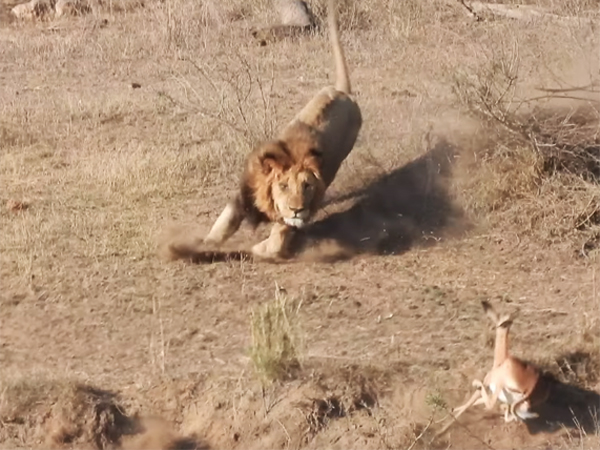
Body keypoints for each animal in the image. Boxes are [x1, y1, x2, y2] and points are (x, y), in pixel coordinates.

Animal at [169, 0, 360, 262]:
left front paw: (253, 249)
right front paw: (196, 246)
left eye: (307, 186)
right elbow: (222, 226)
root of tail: (342, 92)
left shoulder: (289, 221)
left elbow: (272, 244)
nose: (298, 209)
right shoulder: (243, 196)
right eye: (283, 186)